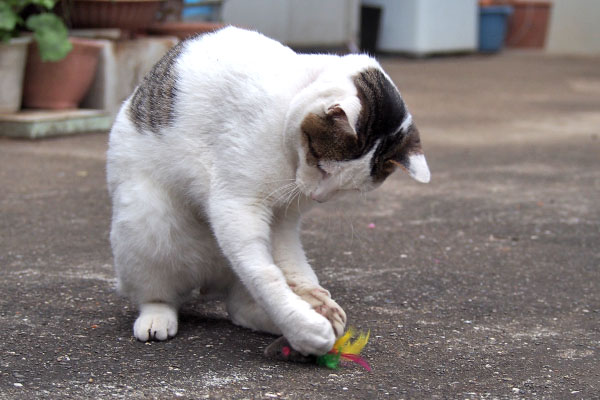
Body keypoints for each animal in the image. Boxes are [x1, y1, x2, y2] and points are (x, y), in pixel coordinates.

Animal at [105, 26, 428, 354]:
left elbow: (291, 264)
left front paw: (311, 303)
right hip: (148, 222)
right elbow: (264, 273)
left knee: (238, 307)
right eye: (321, 164)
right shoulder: (237, 207)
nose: (318, 197)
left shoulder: (283, 218)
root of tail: (207, 280)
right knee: (156, 291)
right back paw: (156, 316)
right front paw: (303, 326)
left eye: (347, 188)